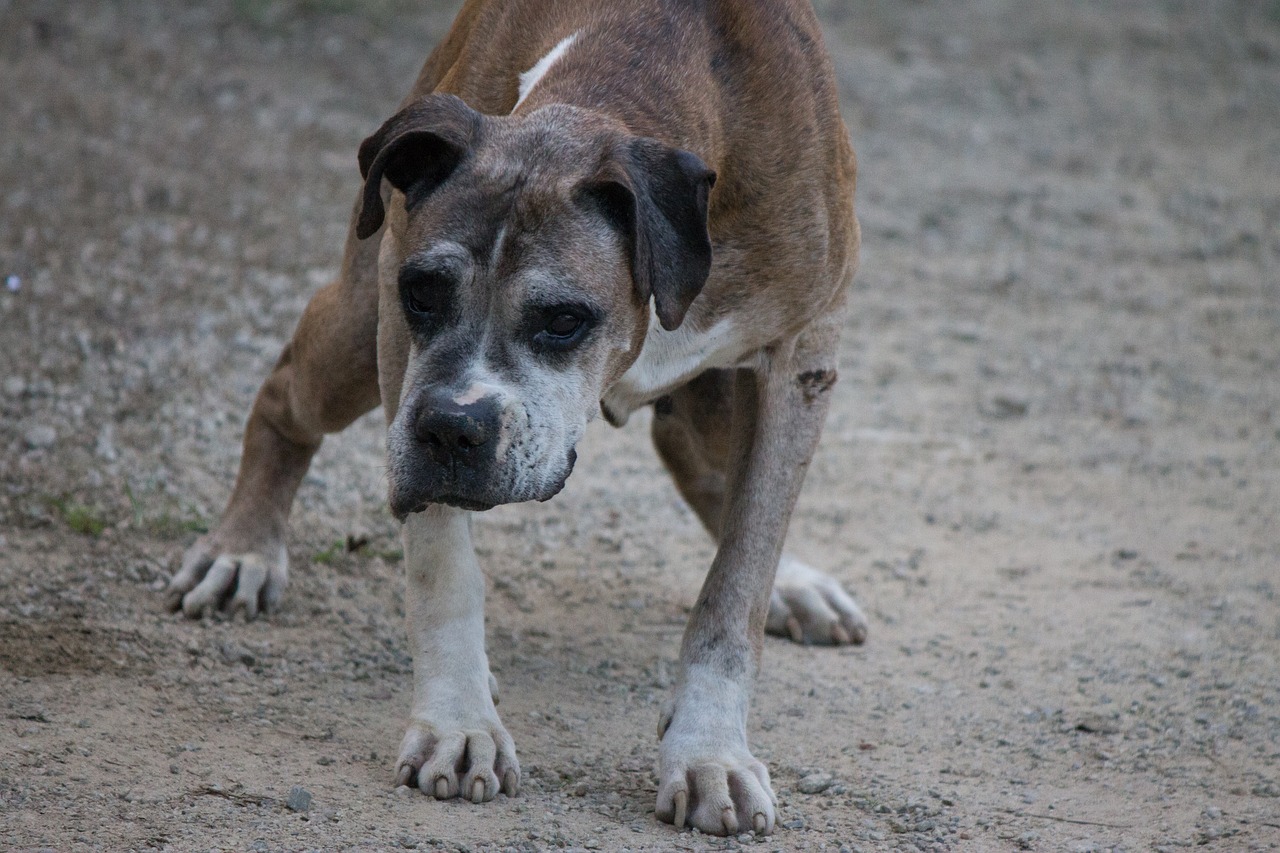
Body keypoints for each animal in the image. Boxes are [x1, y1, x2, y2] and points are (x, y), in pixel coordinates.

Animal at [170, 0, 865, 835]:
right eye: (422, 292)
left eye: (564, 319)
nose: (450, 428)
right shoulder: (397, 326)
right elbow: (444, 568)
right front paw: (458, 721)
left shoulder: (800, 361)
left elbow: (737, 586)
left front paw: (708, 751)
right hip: (350, 338)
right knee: (283, 395)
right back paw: (241, 549)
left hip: (728, 400)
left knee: (719, 480)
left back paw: (793, 581)